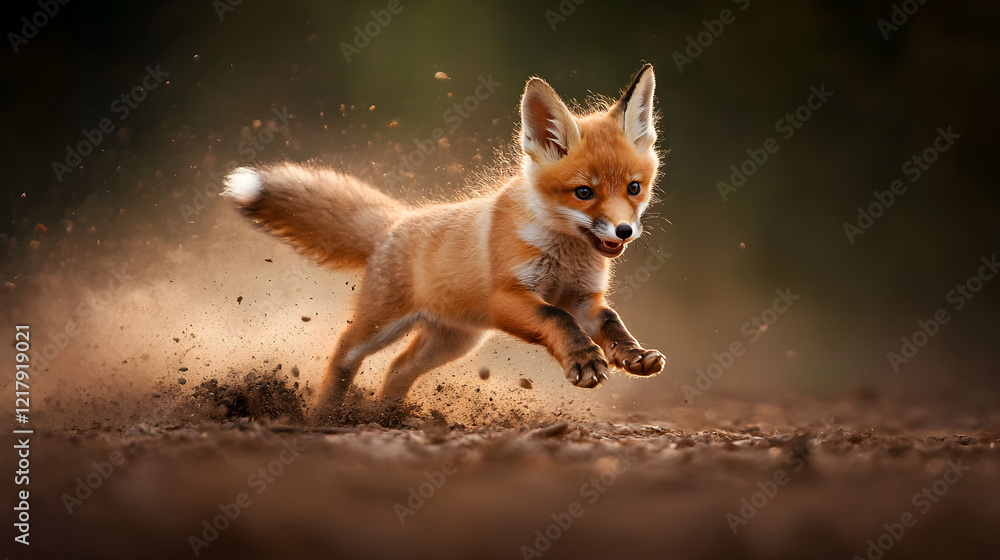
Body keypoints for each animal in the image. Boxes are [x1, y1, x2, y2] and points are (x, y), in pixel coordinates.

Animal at [222, 64, 667, 413]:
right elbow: (556, 318)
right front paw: (585, 360)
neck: (565, 252)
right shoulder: (508, 298)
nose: (624, 231)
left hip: (455, 341)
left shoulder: (583, 299)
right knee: (344, 354)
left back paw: (386, 419)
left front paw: (634, 355)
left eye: (633, 188)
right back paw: (325, 416)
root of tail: (398, 222)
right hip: (382, 324)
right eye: (584, 192)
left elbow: (611, 322)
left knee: (398, 369)